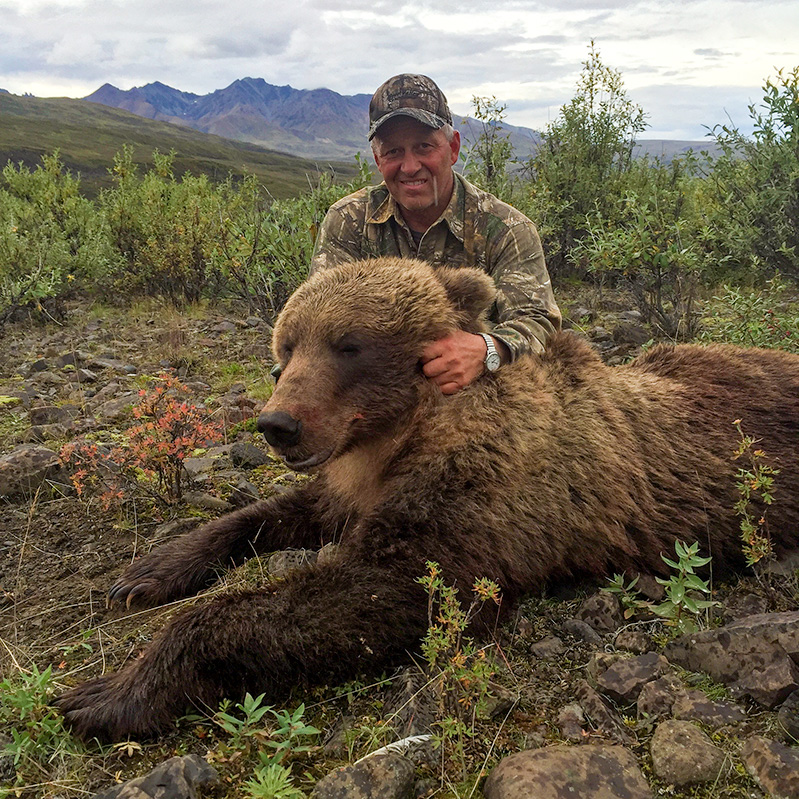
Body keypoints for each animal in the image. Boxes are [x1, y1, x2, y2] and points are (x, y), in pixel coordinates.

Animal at [59, 258, 799, 744]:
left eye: (348, 343)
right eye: (286, 345)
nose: (278, 424)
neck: (410, 429)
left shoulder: (483, 489)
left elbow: (387, 587)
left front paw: (107, 693)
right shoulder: (358, 481)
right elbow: (279, 513)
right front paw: (147, 571)